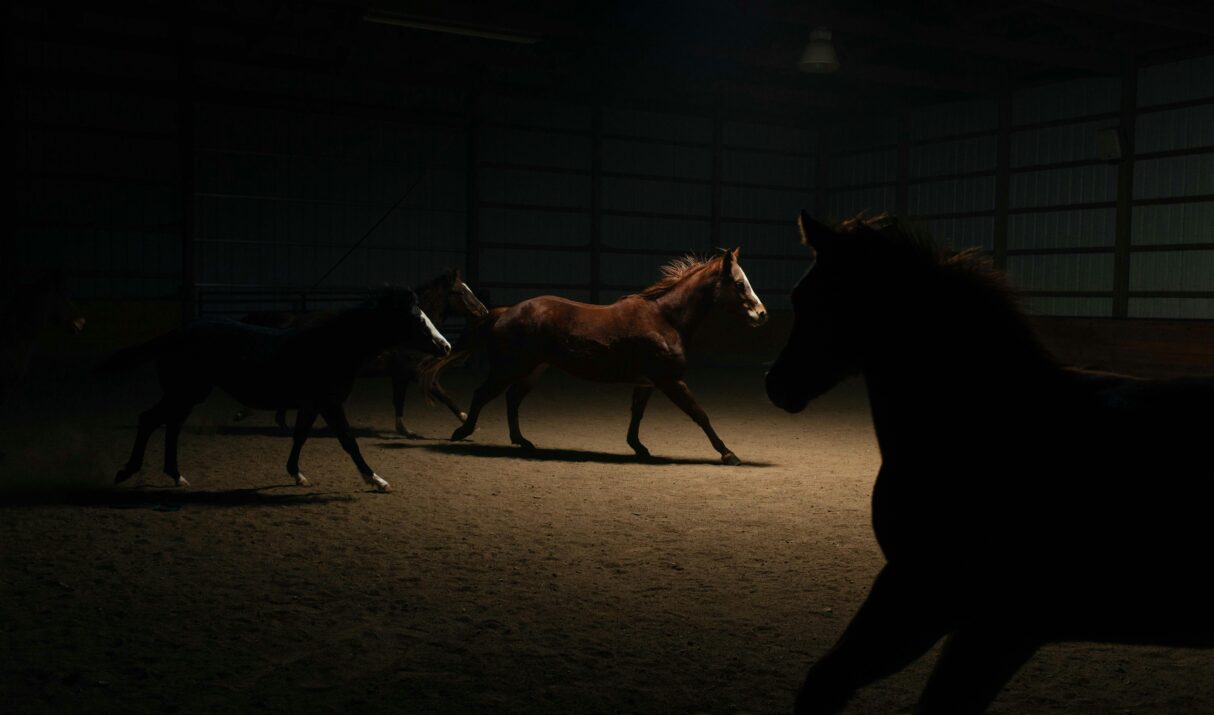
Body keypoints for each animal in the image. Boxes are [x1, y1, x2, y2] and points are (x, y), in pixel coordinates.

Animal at [103, 287, 450, 493]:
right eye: (419, 321)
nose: (446, 346)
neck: (333, 346)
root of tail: (175, 333)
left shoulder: (311, 405)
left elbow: (299, 437)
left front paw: (296, 474)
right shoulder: (329, 403)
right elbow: (348, 441)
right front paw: (376, 479)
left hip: (187, 395)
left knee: (170, 427)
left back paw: (176, 476)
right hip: (184, 393)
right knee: (150, 420)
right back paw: (126, 472)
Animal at [233, 269, 488, 436]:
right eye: (462, 292)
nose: (484, 311)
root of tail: (292, 321)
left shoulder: (401, 374)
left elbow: (401, 399)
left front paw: (403, 428)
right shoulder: (410, 371)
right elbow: (440, 394)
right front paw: (466, 421)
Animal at [423, 248, 768, 464]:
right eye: (740, 284)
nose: (762, 314)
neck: (665, 318)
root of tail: (504, 311)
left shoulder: (648, 382)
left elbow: (637, 414)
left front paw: (638, 447)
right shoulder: (669, 380)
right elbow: (699, 414)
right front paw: (728, 453)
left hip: (533, 370)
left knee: (512, 399)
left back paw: (522, 441)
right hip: (509, 368)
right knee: (483, 394)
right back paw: (463, 431)